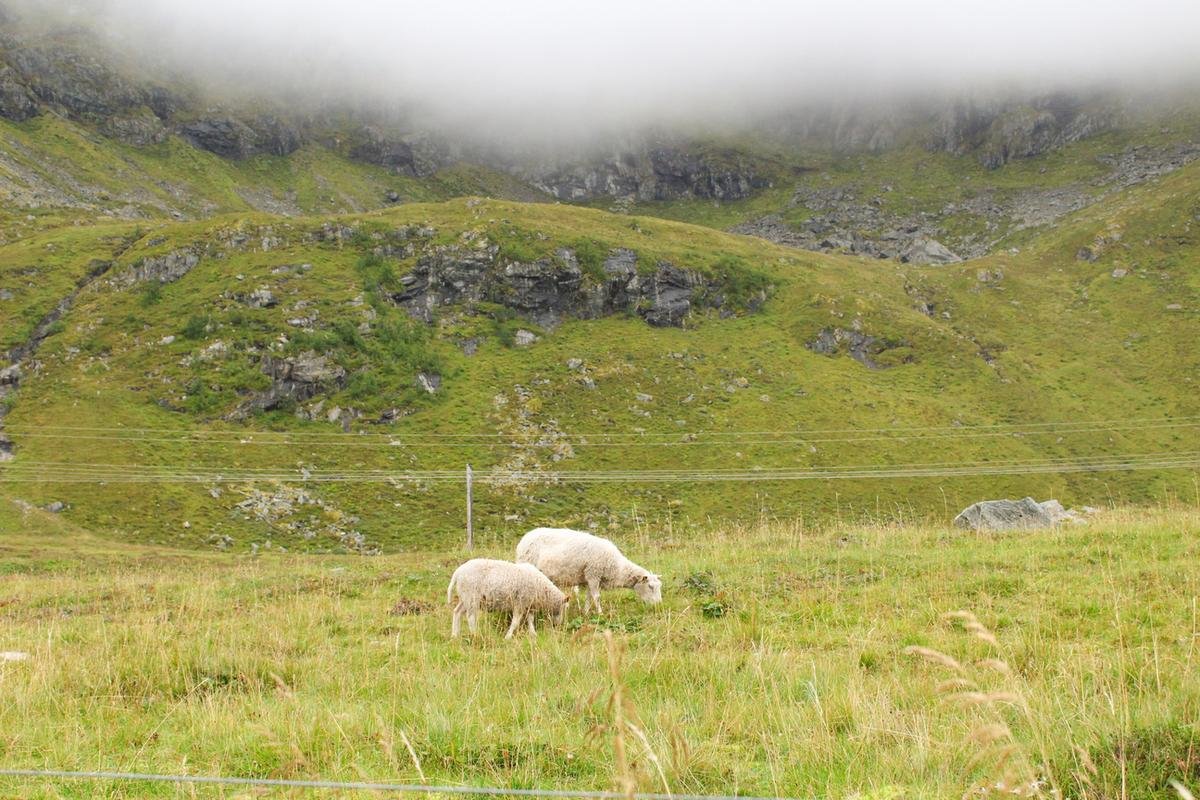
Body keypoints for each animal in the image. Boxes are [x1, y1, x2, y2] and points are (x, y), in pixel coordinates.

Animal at [515, 527, 662, 615]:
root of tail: (525, 537)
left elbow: (588, 597)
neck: (617, 567)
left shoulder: (587, 578)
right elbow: (596, 597)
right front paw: (601, 613)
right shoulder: (593, 574)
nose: (659, 605)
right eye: (650, 586)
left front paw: (585, 612)